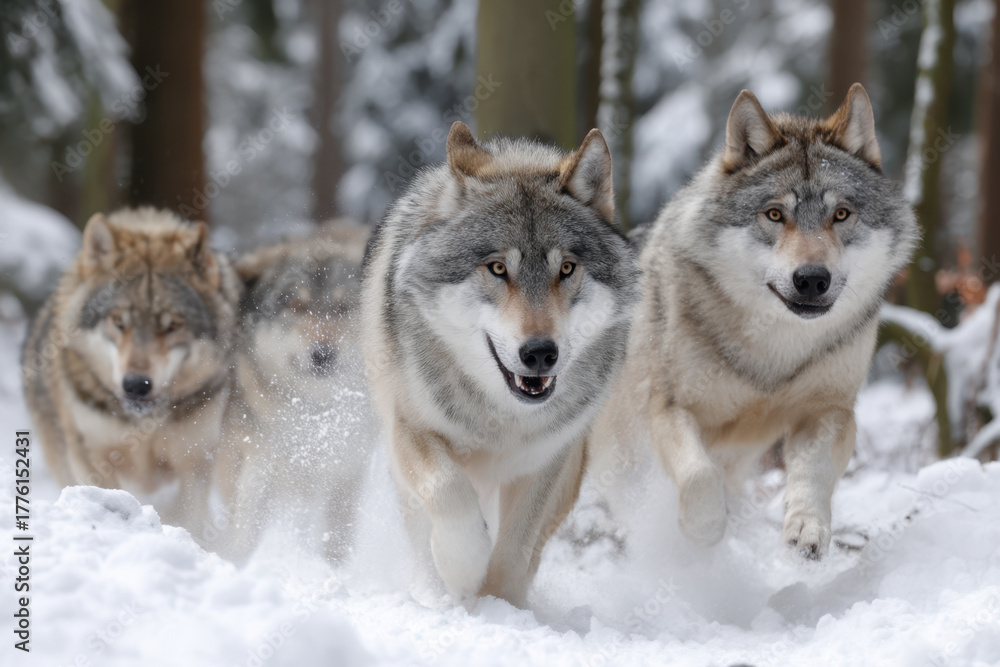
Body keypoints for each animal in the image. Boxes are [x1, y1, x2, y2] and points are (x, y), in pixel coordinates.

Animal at [21, 208, 242, 536]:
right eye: (118, 321)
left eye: (172, 326)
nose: (136, 385)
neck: (142, 425)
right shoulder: (93, 458)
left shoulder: (193, 462)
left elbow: (188, 519)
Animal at [217, 220, 375, 562]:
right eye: (295, 306)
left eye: (342, 307)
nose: (323, 354)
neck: (316, 414)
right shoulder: (257, 464)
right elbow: (245, 533)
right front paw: (239, 566)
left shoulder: (347, 472)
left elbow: (337, 539)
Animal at [361, 121, 640, 606]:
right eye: (496, 269)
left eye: (566, 268)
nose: (540, 353)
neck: (501, 418)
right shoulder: (410, 427)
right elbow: (450, 493)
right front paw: (462, 571)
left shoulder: (547, 460)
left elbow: (515, 550)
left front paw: (501, 604)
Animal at [591, 84, 919, 559]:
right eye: (775, 214)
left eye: (840, 214)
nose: (812, 279)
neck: (774, 350)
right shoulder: (670, 409)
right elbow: (698, 474)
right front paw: (703, 529)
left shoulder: (829, 411)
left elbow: (813, 473)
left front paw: (808, 528)